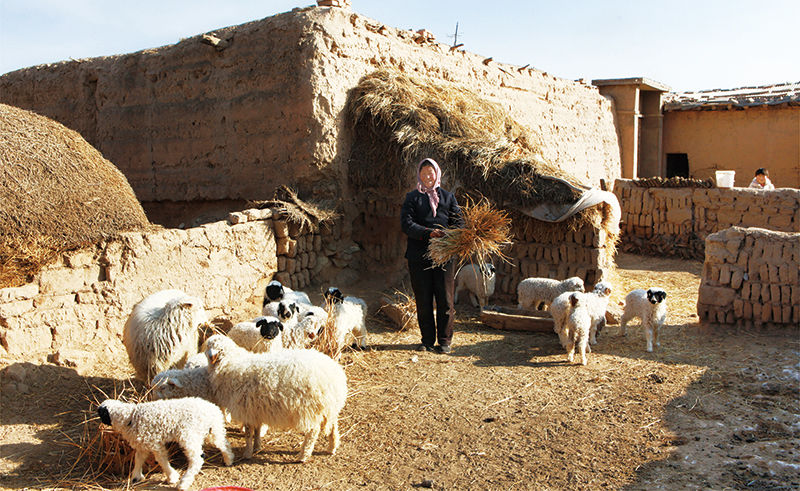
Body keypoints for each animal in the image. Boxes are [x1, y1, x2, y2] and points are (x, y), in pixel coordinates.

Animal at [97, 398, 233, 490]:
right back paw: (229, 459)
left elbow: (161, 459)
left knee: (197, 458)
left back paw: (183, 483)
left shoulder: (154, 442)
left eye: (101, 414)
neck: (130, 417)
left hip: (188, 434)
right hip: (213, 429)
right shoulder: (143, 443)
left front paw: (172, 477)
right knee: (222, 442)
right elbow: (138, 458)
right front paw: (136, 477)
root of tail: (212, 408)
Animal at [203, 334, 346, 462]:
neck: (230, 364)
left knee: (312, 432)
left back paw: (303, 456)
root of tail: (336, 375)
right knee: (333, 427)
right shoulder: (256, 409)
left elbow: (248, 434)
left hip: (310, 409)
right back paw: (332, 448)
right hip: (328, 408)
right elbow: (257, 429)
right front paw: (257, 447)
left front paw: (247, 453)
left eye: (208, 347)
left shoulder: (246, 409)